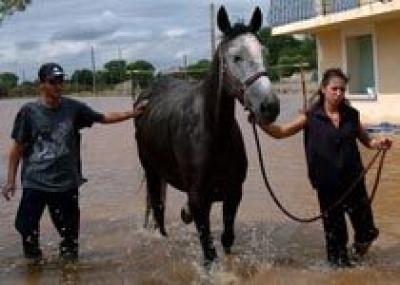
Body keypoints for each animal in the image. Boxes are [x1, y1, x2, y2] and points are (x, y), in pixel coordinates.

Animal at [134, 5, 278, 262]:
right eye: (236, 57)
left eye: (264, 52)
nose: (269, 106)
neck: (212, 132)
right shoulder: (199, 198)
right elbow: (209, 252)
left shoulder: (232, 194)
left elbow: (227, 239)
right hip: (151, 171)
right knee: (158, 212)